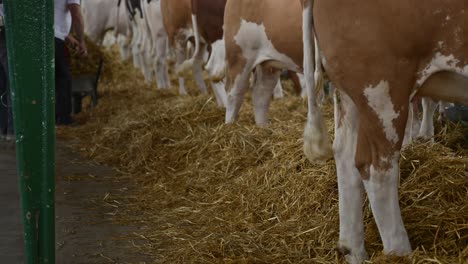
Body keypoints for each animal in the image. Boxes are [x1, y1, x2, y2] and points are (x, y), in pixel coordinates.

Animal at [300, 1, 468, 262]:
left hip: (350, 94)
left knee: (345, 158)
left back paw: (353, 251)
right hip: (383, 88)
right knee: (375, 168)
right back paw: (399, 252)